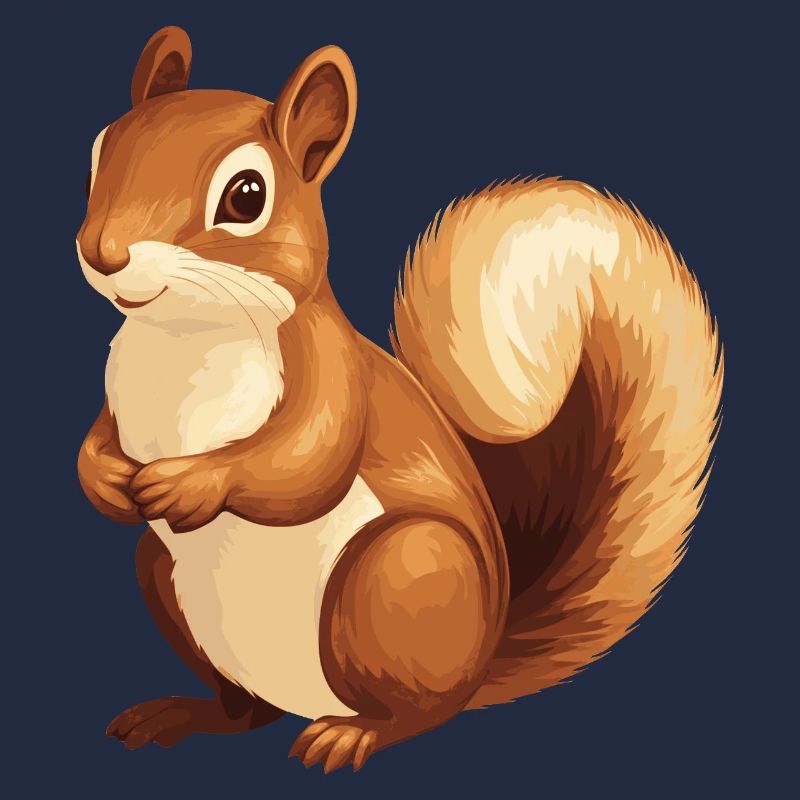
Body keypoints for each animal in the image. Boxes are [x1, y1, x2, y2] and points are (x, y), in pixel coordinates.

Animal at [77, 26, 723, 772]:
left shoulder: (332, 372)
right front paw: (106, 479)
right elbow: (97, 441)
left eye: (246, 195)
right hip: (163, 575)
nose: (103, 252)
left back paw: (353, 735)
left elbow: (307, 460)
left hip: (399, 576)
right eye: (98, 152)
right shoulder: (114, 394)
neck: (181, 340)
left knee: (417, 713)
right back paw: (188, 714)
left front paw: (191, 483)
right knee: (246, 711)